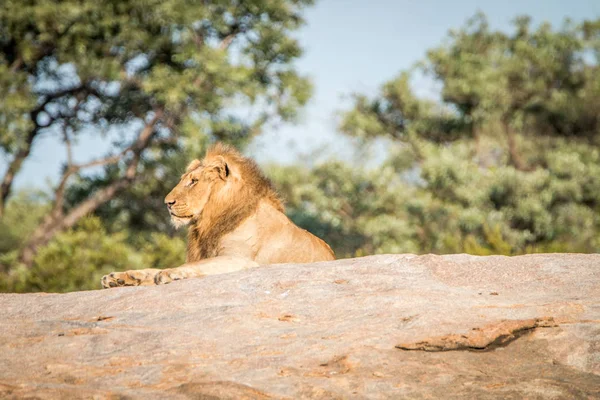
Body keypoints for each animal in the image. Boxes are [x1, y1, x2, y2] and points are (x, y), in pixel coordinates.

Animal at [103, 141, 338, 288]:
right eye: (184, 179)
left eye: (194, 181)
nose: (167, 203)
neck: (210, 220)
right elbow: (151, 270)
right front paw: (120, 277)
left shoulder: (239, 260)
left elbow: (190, 266)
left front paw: (170, 272)